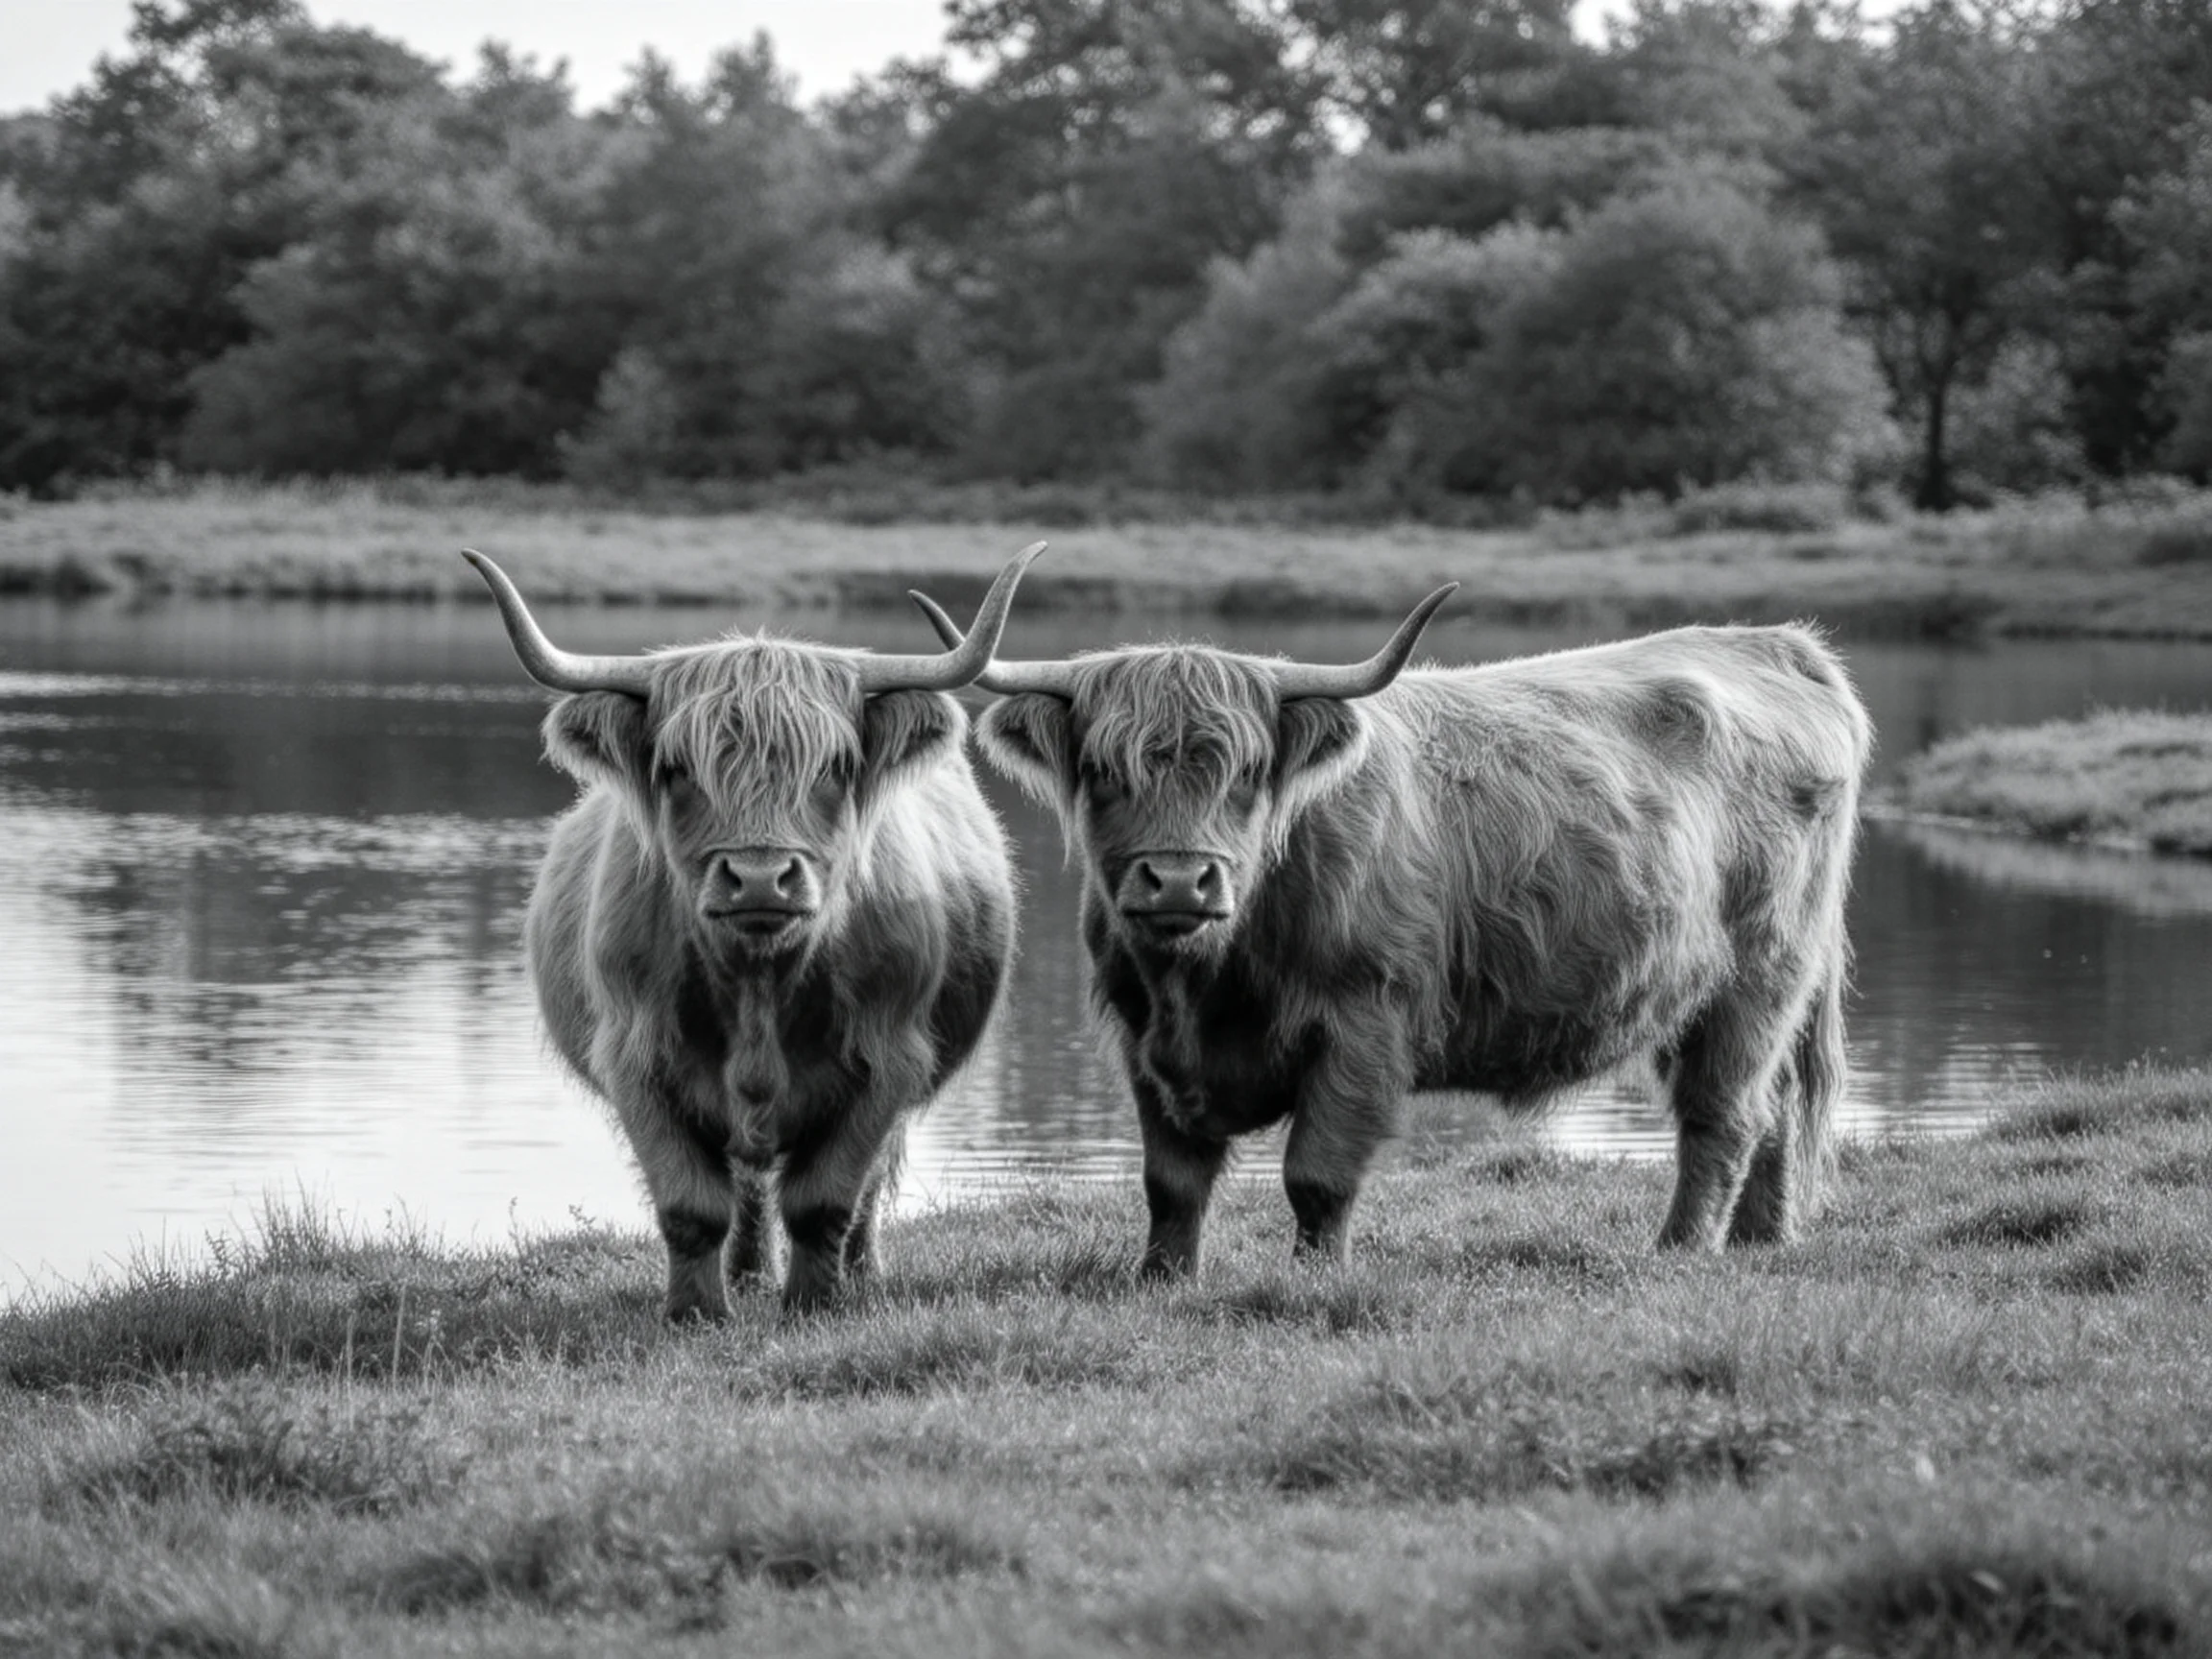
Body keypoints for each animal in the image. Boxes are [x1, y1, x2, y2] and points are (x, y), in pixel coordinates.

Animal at [467, 544, 1042, 1316]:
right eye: (678, 769)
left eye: (833, 766)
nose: (762, 878)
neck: (760, 978)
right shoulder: (634, 1058)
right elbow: (691, 1205)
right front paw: (697, 1313)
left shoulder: (890, 1058)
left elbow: (826, 1199)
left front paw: (813, 1306)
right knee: (743, 1187)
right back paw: (744, 1276)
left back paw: (861, 1273)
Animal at [913, 587, 1872, 1277]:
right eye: (1104, 769)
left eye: (1248, 772)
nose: (1180, 879)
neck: (1206, 981)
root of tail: (1773, 643)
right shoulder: (1143, 1038)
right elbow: (1170, 1181)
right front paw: (1160, 1279)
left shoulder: (1364, 1021)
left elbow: (1317, 1172)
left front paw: (1315, 1278)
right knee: (1776, 1109)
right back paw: (1763, 1240)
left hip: (1758, 978)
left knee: (1726, 1114)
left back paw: (1681, 1249)